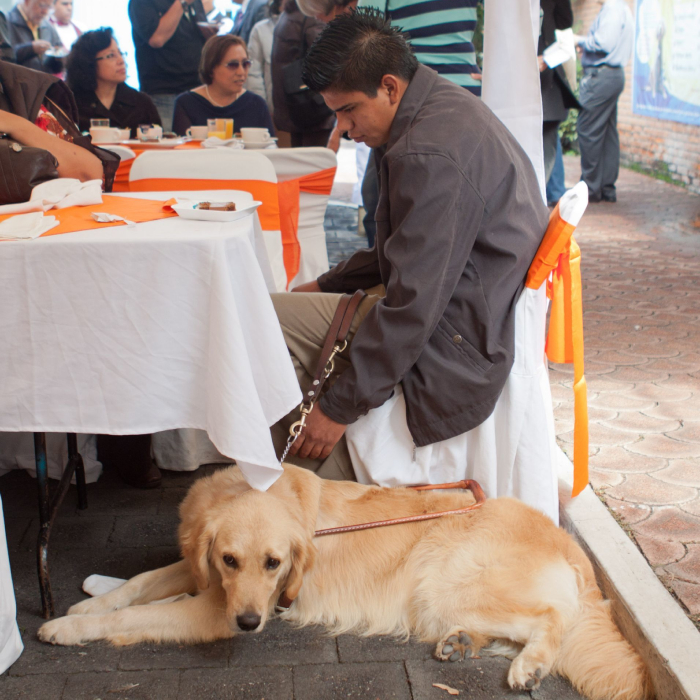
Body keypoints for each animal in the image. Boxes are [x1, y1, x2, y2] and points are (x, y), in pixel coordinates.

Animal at [37, 464, 652, 700]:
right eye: (230, 559)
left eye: (275, 564)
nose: (251, 622)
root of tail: (565, 540)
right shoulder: (205, 573)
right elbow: (141, 581)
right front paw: (90, 601)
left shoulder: (212, 609)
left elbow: (141, 612)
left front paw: (67, 628)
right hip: (444, 599)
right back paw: (462, 644)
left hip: (446, 578)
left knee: (553, 617)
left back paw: (529, 666)